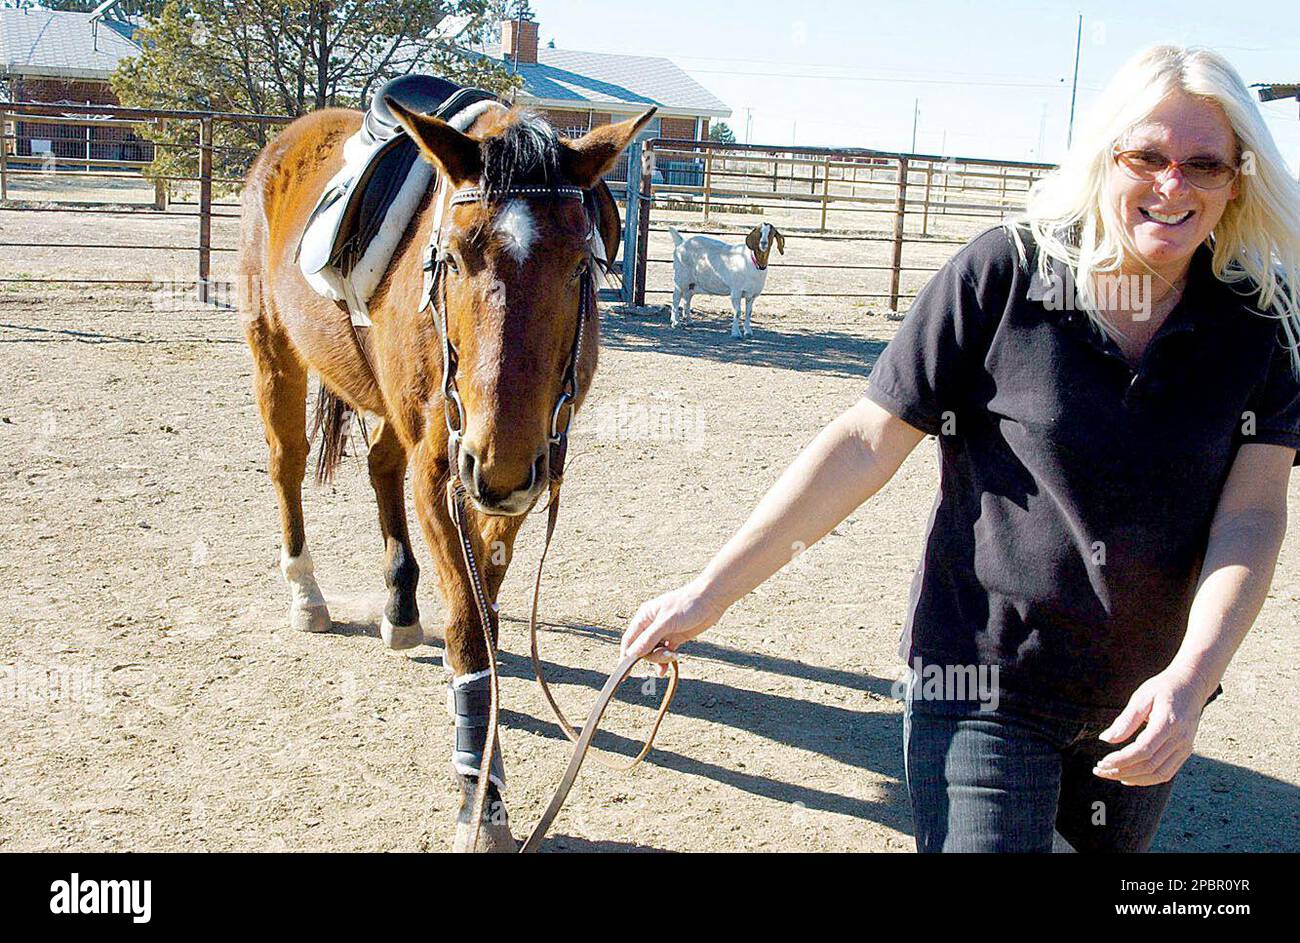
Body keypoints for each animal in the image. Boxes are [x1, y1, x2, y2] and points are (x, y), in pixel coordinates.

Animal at [237, 91, 655, 851]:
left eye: (580, 267)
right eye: (454, 259)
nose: (500, 461)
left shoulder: (518, 481)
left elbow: (483, 606)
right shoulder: (447, 474)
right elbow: (466, 625)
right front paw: (480, 796)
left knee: (379, 464)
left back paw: (400, 608)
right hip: (273, 347)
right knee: (286, 464)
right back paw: (306, 592)